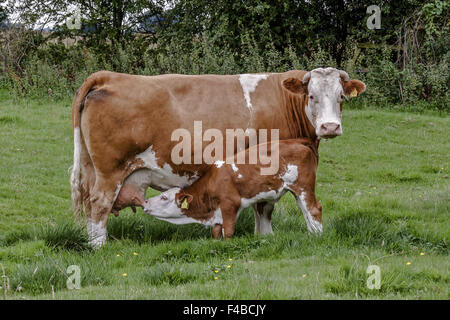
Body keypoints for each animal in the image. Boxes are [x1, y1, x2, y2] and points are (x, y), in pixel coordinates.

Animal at [142, 139, 322, 239]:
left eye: (164, 197)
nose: (145, 202)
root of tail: (298, 142)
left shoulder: (230, 204)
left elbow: (227, 232)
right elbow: (216, 233)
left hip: (304, 187)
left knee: (314, 209)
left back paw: (318, 236)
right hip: (297, 191)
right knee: (306, 212)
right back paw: (311, 234)